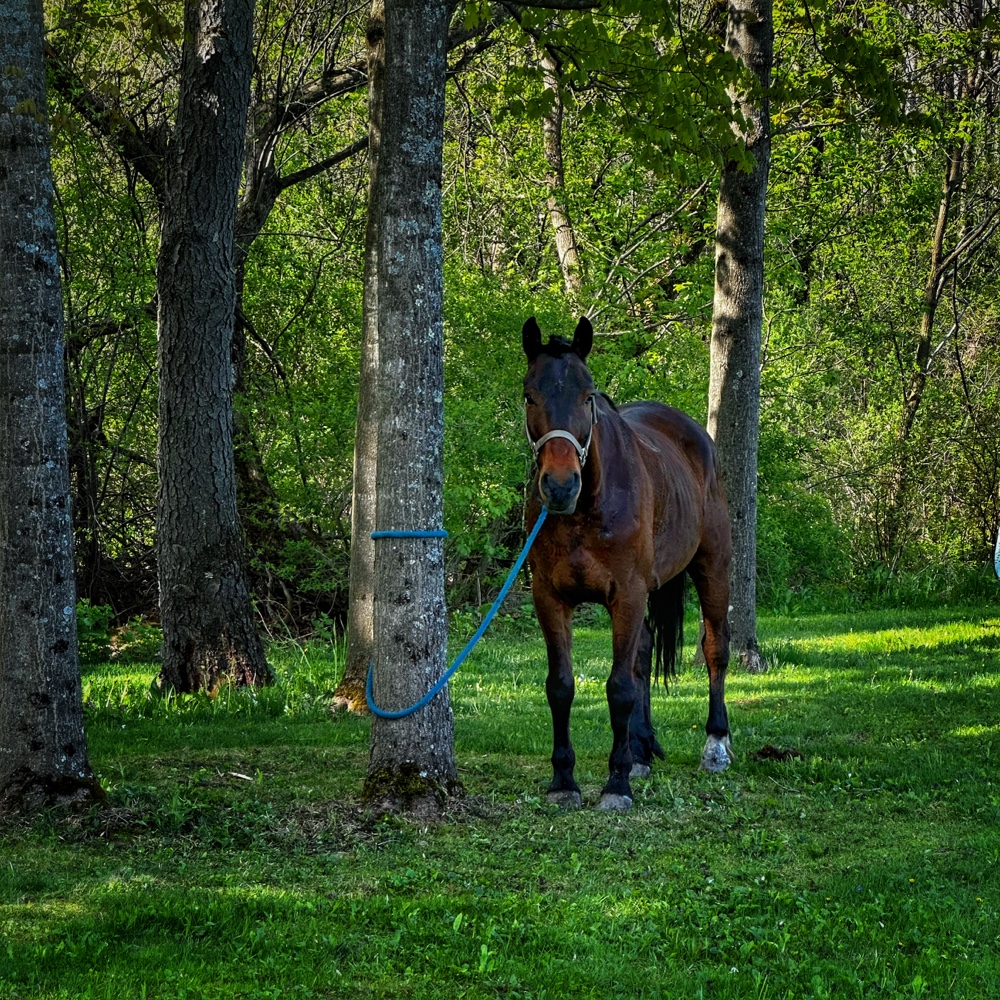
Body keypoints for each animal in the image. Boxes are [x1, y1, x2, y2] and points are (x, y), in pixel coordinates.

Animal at [524, 318, 736, 812]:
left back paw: (715, 744)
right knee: (642, 656)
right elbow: (560, 685)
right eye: (529, 395)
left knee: (716, 649)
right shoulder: (549, 597)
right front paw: (564, 779)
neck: (587, 509)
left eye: (587, 396)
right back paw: (640, 749)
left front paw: (616, 783)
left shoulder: (628, 594)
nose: (559, 485)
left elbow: (619, 687)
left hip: (713, 566)